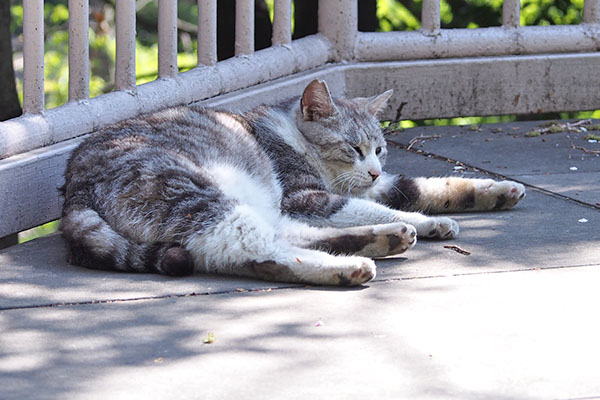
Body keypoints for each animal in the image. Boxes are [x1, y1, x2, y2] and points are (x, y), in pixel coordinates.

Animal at [61, 79, 524, 284]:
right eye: (353, 148)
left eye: (380, 149)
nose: (373, 168)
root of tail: (73, 190)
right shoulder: (306, 196)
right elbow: (376, 203)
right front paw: (425, 221)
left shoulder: (360, 187)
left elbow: (418, 187)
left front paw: (493, 191)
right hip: (194, 195)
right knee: (255, 250)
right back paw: (350, 265)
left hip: (249, 205)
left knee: (284, 238)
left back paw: (385, 238)